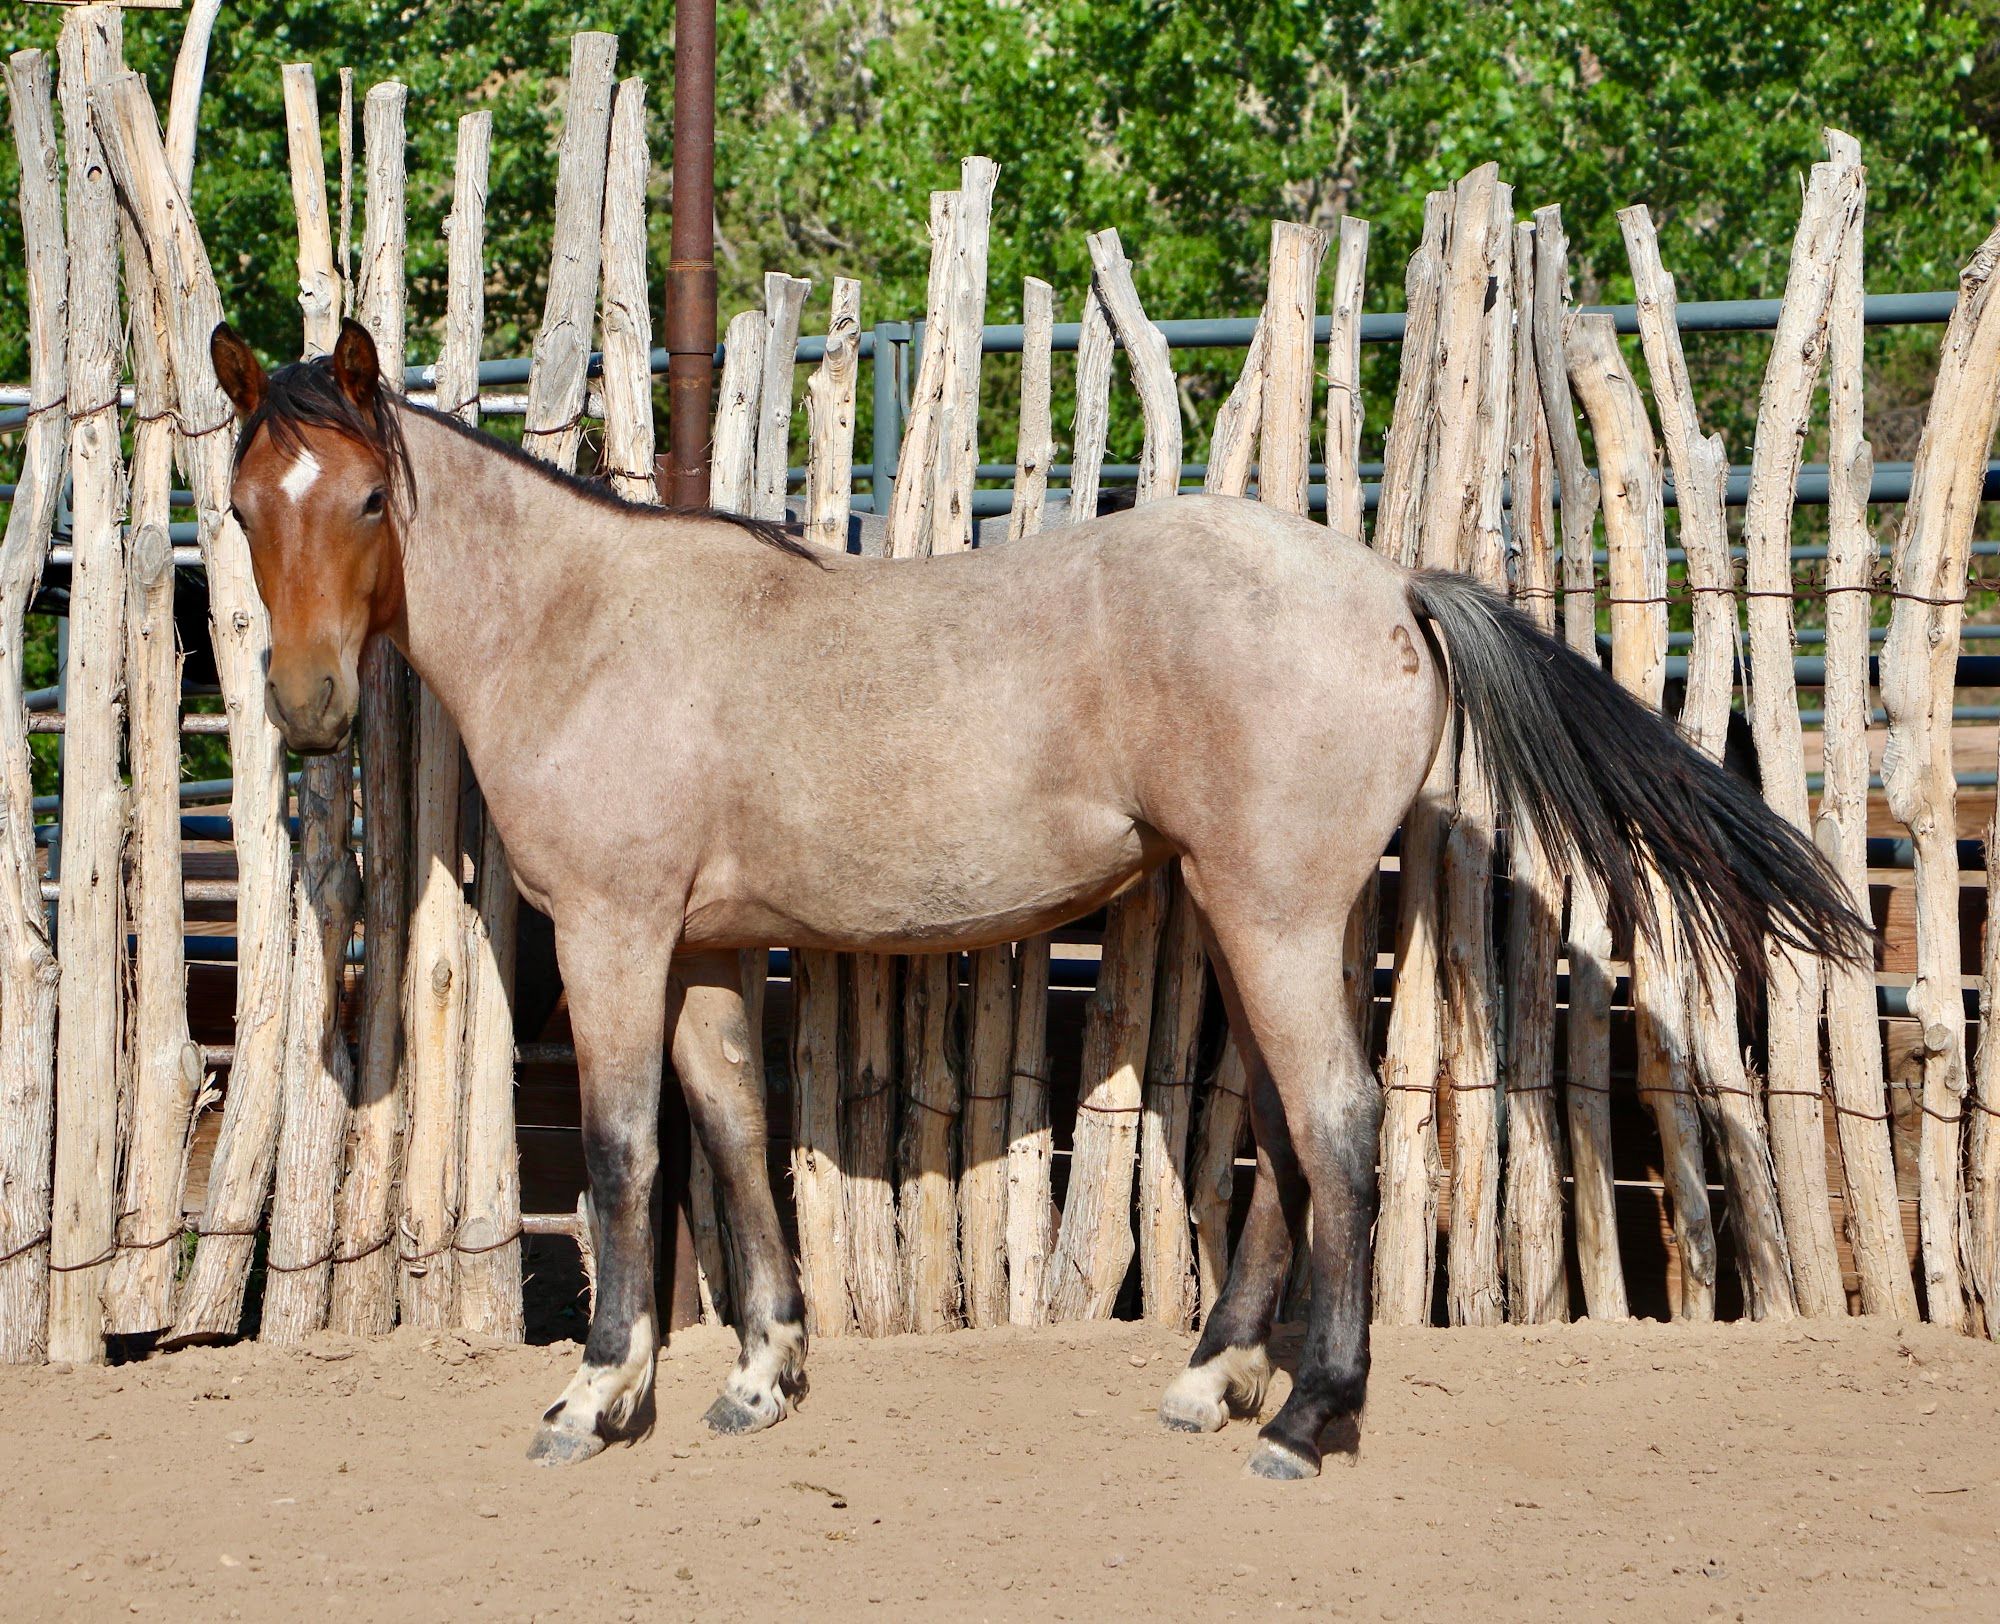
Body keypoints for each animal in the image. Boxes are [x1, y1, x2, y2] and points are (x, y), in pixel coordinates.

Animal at [209, 318, 1868, 1479]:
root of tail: (1390, 588)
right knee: (1286, 1137)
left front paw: (596, 1393)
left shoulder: (614, 938)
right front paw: (759, 1377)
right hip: (1262, 920)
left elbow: (624, 1159)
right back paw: (1214, 1381)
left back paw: (1309, 1419)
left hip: (1271, 919)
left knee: (1340, 1129)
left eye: (371, 499)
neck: (591, 627)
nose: (305, 711)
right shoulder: (701, 955)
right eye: (239, 507)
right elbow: (737, 1139)